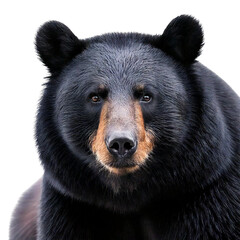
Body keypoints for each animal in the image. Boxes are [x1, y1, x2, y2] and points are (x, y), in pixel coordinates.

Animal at [9, 15, 240, 239]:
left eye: (146, 96)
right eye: (95, 96)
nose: (121, 143)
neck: (129, 195)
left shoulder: (206, 191)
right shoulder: (73, 202)